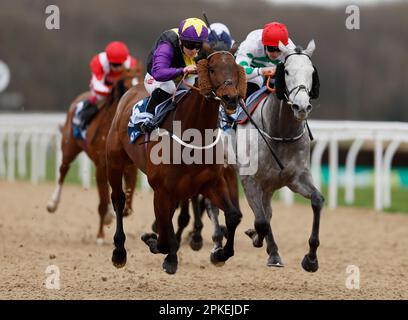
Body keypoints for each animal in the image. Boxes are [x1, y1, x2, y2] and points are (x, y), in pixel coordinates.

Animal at [45, 66, 142, 244]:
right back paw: (53, 203)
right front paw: (100, 235)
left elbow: (127, 202)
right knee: (63, 170)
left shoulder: (130, 167)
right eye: (126, 87)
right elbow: (103, 203)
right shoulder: (101, 166)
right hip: (69, 147)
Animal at [106, 42, 245, 272]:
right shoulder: (161, 190)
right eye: (212, 69)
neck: (193, 136)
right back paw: (119, 252)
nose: (230, 98)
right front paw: (164, 252)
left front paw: (220, 253)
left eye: (235, 68)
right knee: (118, 200)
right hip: (116, 162)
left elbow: (233, 216)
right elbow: (163, 236)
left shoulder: (211, 183)